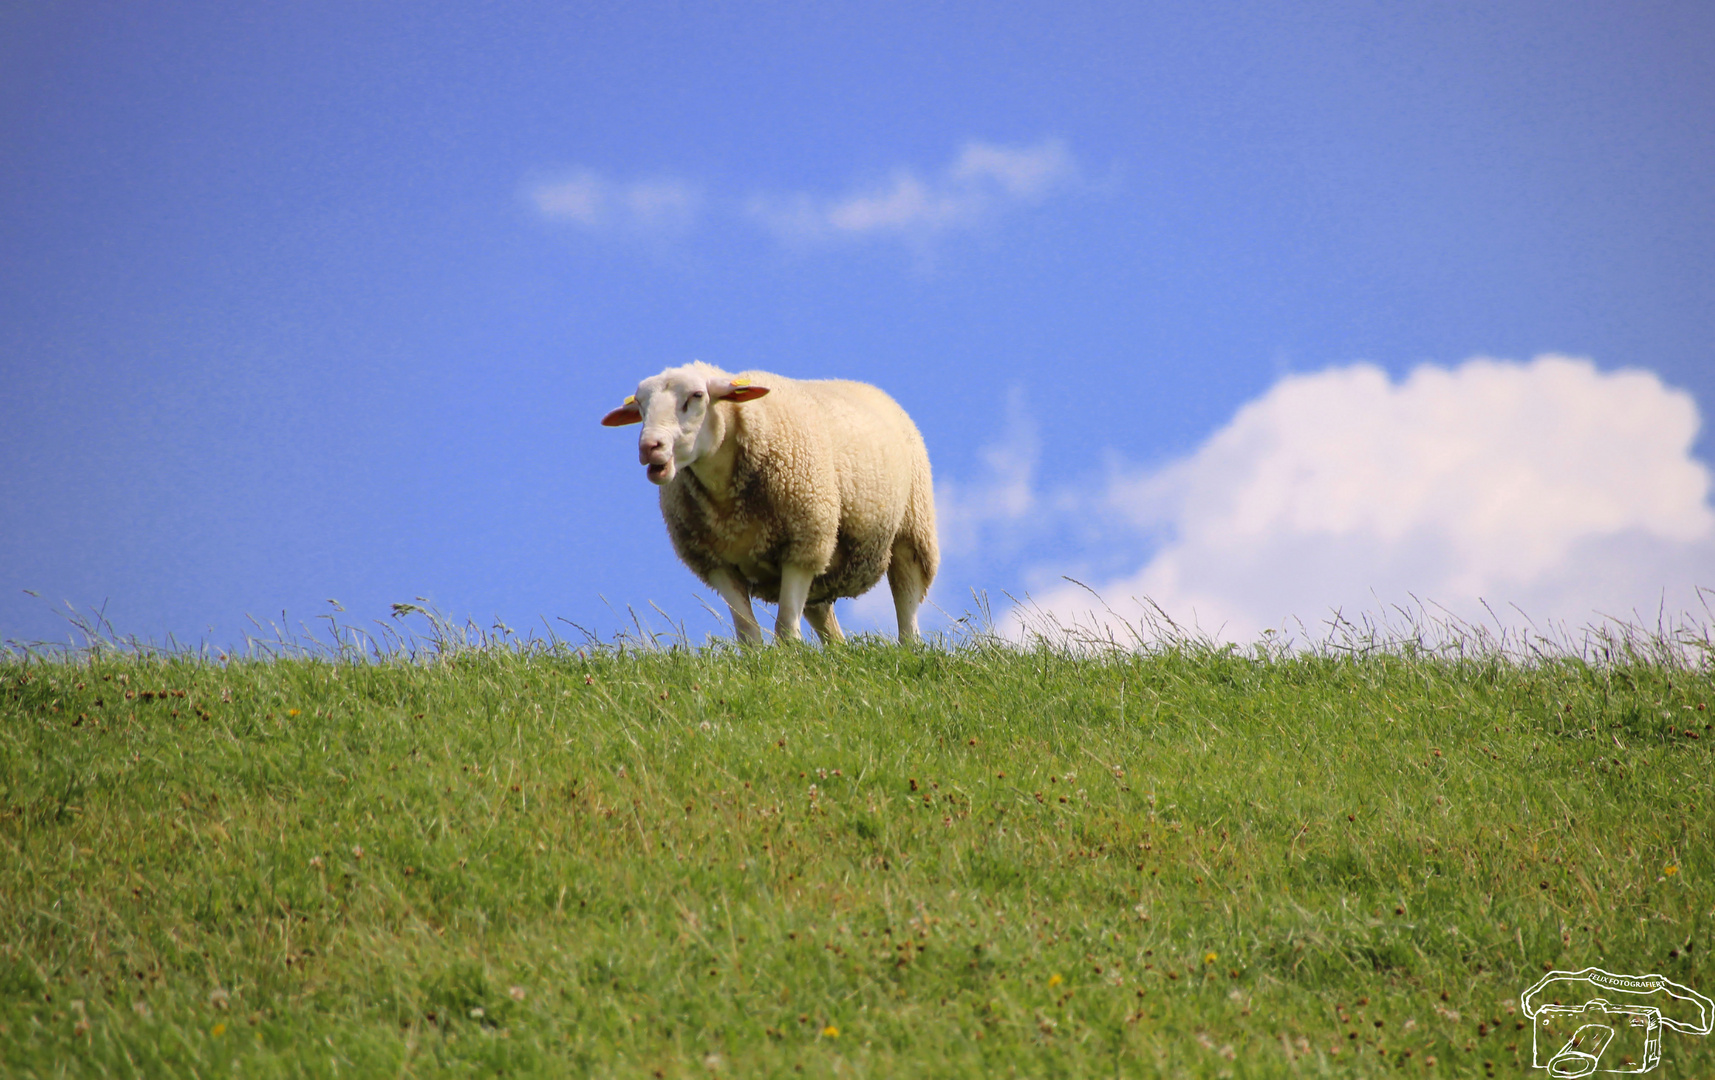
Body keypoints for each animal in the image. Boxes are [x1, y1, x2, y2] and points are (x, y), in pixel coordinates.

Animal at [607, 363, 939, 648]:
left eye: (697, 396)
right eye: (640, 405)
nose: (649, 447)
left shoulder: (803, 543)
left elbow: (785, 629)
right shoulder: (716, 562)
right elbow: (748, 634)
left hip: (912, 530)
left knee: (907, 601)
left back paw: (909, 649)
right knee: (824, 618)